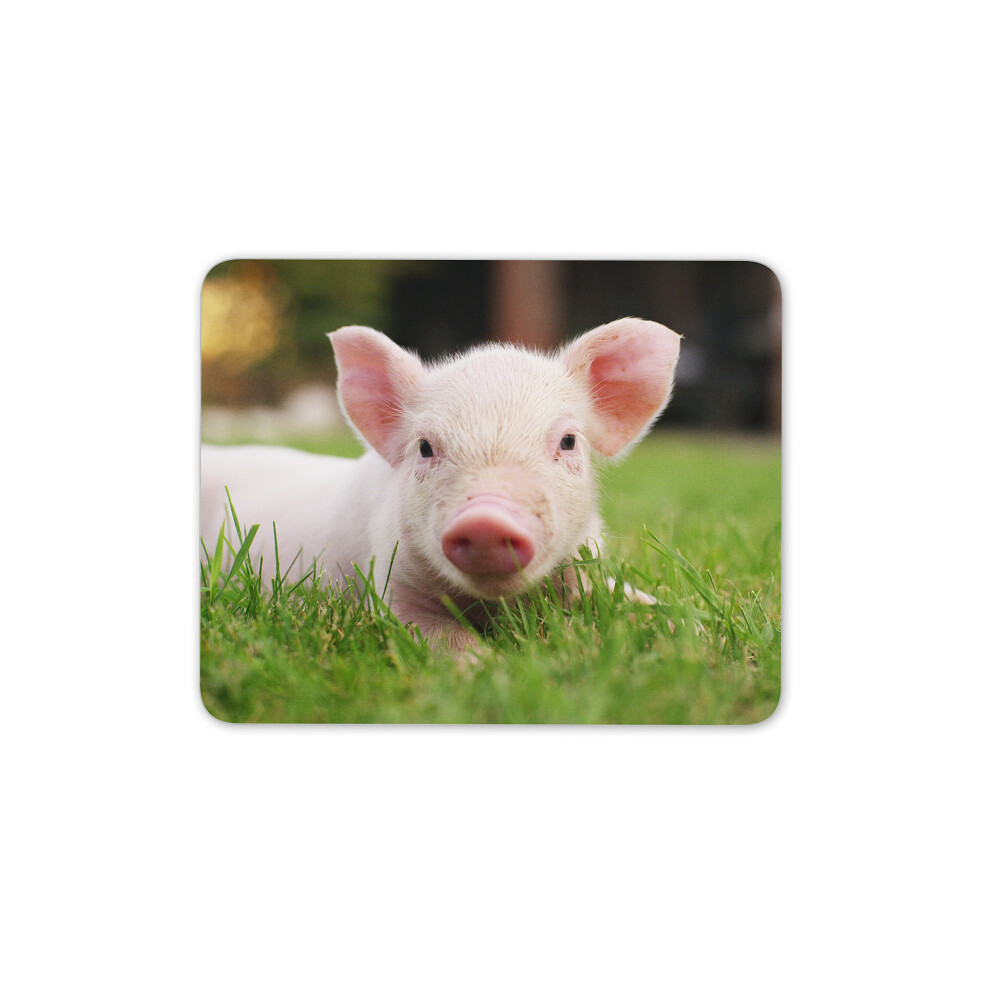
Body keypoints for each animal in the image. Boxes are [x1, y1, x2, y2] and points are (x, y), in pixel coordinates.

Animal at [200, 317, 681, 653]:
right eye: (425, 447)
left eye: (568, 441)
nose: (487, 518)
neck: (492, 606)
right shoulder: (390, 585)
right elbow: (439, 635)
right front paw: (486, 666)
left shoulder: (583, 567)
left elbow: (630, 599)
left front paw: (683, 625)